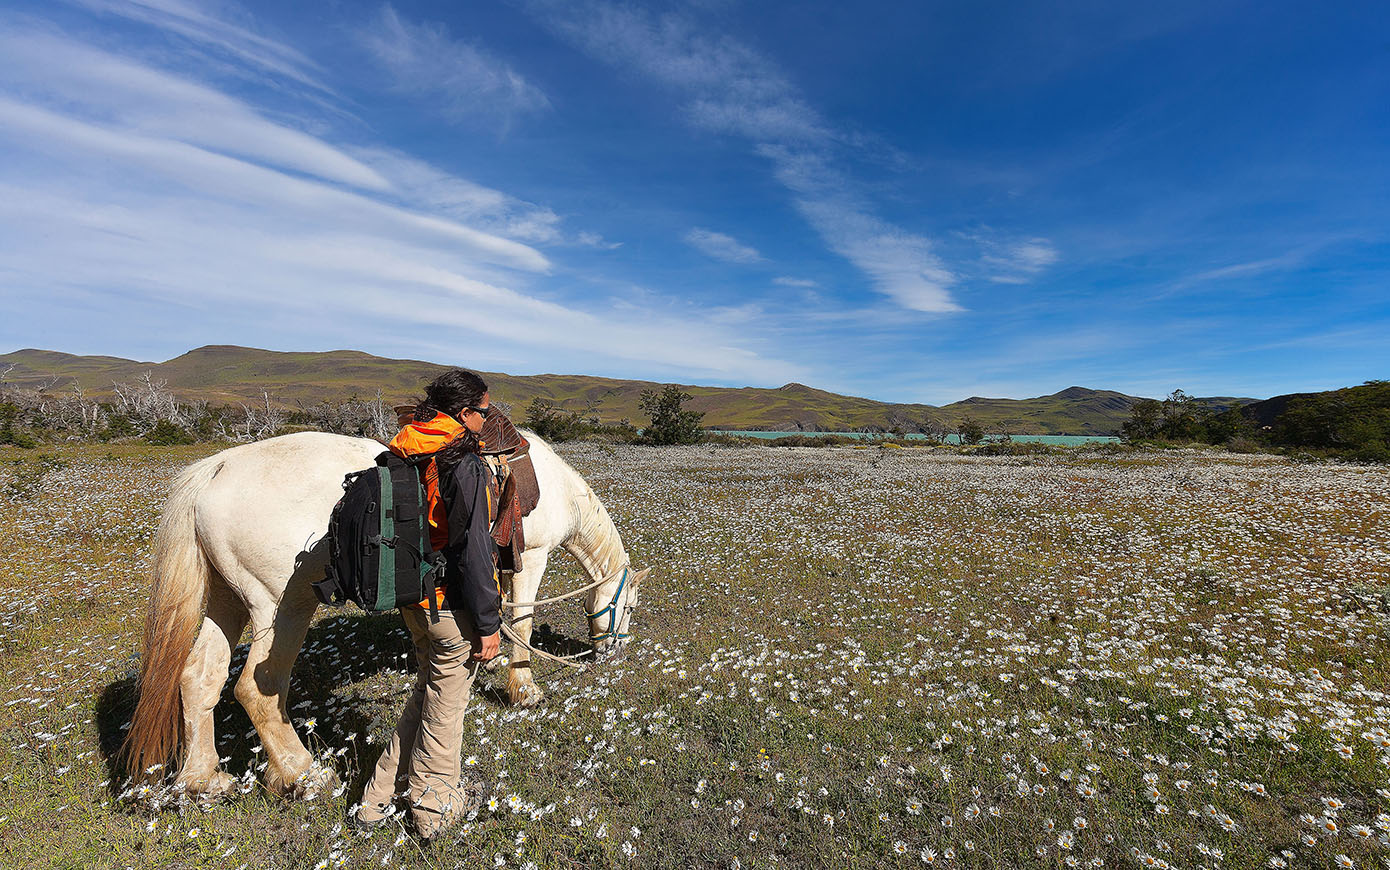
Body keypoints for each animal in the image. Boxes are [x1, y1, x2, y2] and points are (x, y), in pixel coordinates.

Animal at [120, 430, 644, 794]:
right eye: (630, 607)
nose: (615, 652)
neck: (558, 489)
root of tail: (217, 468)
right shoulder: (531, 558)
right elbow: (523, 622)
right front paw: (523, 689)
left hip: (224, 601)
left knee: (198, 678)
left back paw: (204, 779)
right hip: (281, 606)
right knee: (257, 688)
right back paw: (302, 774)